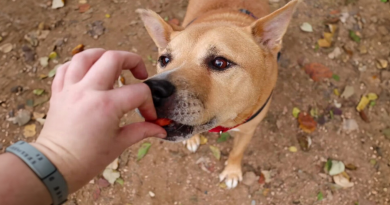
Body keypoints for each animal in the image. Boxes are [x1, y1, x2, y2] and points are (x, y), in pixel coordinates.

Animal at [137, 0, 298, 189]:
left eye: (220, 63)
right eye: (164, 60)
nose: (152, 90)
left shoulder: (248, 130)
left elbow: (237, 152)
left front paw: (232, 172)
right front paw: (192, 139)